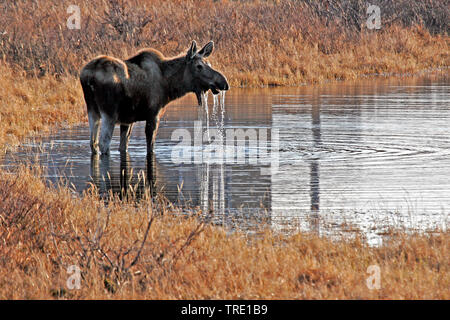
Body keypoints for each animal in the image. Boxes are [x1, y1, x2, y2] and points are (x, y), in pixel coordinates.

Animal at [79, 40, 229, 156]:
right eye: (199, 66)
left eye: (209, 64)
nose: (223, 82)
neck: (169, 86)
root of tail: (88, 77)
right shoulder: (153, 115)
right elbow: (150, 147)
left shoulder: (127, 120)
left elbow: (123, 147)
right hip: (109, 114)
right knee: (103, 144)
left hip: (92, 111)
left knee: (93, 143)